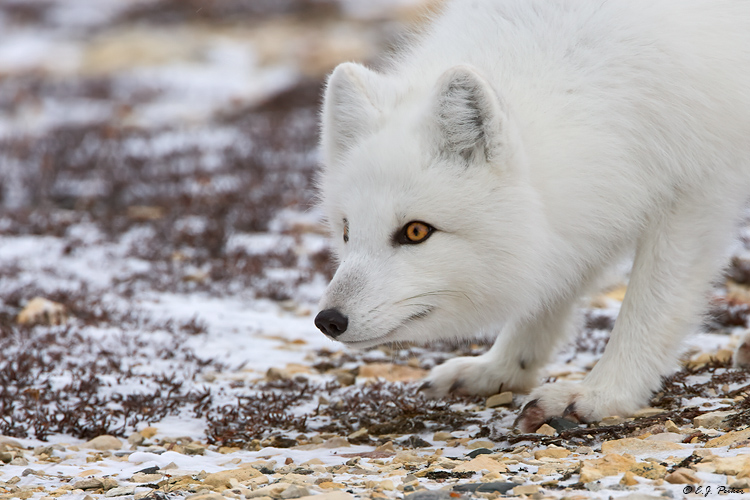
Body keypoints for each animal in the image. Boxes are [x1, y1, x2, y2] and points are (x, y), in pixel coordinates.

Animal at [313, 0, 750, 432]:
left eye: (416, 231)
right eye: (347, 230)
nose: (328, 320)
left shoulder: (695, 192)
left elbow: (649, 309)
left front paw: (601, 394)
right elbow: (548, 292)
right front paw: (501, 367)